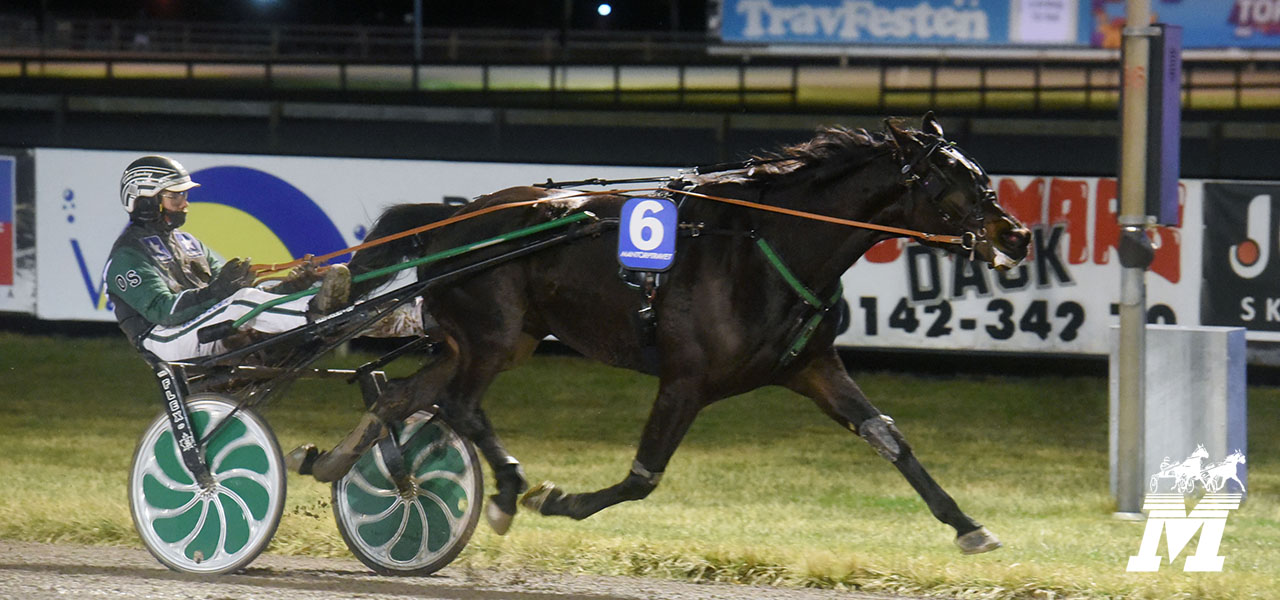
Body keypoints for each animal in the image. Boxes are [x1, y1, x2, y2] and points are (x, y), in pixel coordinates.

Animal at [296, 112, 1029, 552]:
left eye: (980, 175)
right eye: (956, 180)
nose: (1017, 235)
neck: (767, 246)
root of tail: (453, 219)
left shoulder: (812, 368)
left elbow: (889, 437)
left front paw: (969, 526)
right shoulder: (686, 379)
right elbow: (645, 476)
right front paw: (560, 501)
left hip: (494, 340)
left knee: (405, 397)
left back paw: (353, 468)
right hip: (495, 337)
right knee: (460, 405)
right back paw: (504, 490)